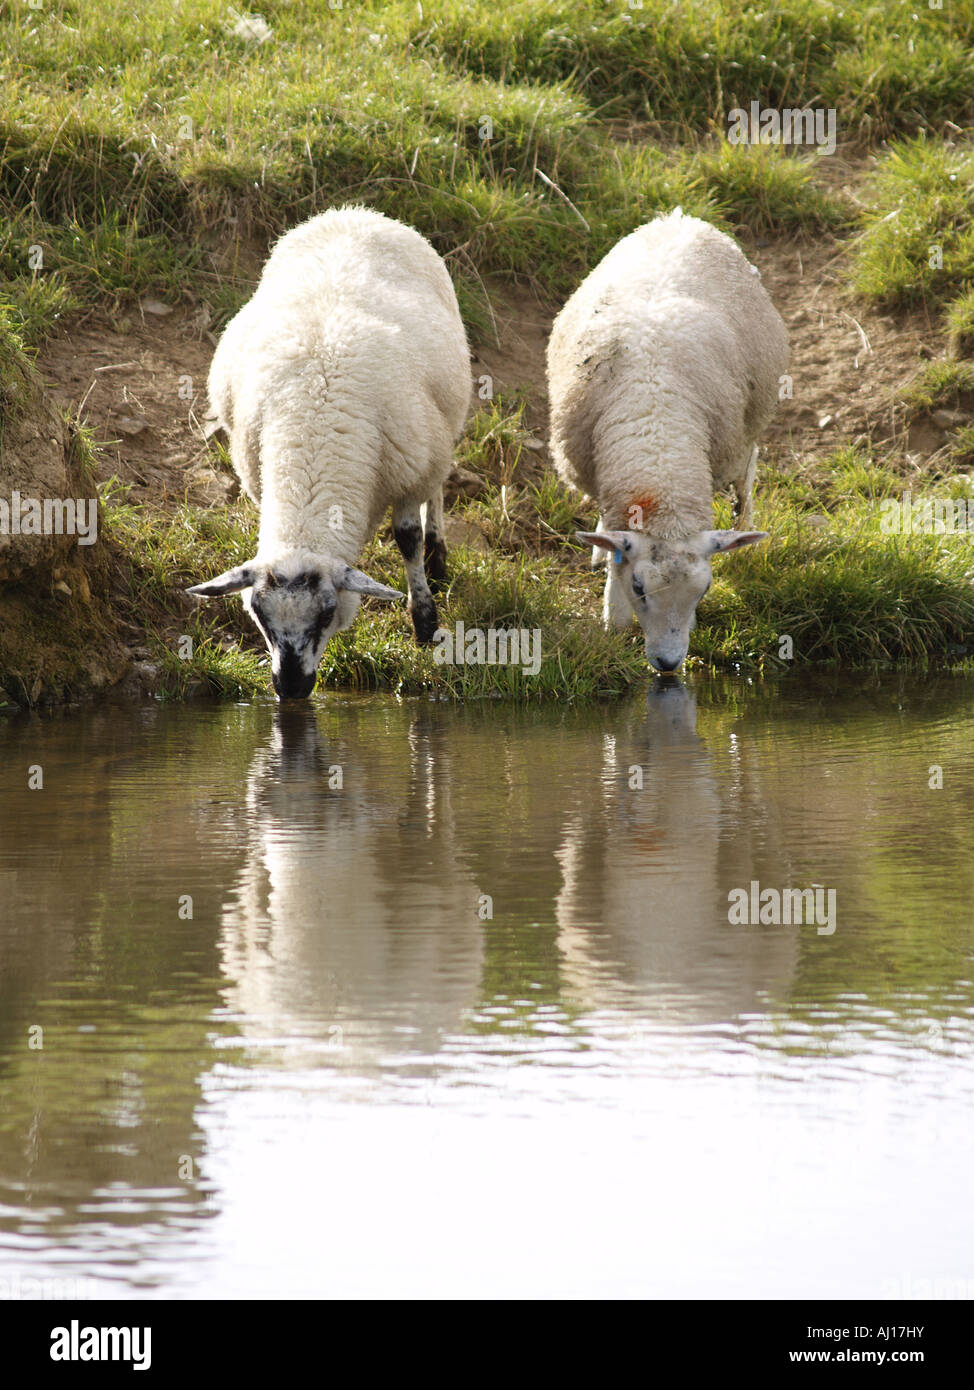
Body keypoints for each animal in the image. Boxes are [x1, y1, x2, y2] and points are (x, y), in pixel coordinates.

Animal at [187, 206, 471, 699]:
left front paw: (424, 622)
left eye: (325, 613)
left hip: (438, 435)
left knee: (437, 489)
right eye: (258, 614)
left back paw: (438, 556)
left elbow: (408, 539)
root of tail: (354, 212)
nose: (289, 688)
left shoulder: (408, 473)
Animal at [546, 208, 789, 673]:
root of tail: (680, 218)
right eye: (640, 588)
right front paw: (614, 613)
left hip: (750, 419)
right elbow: (615, 554)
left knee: (747, 475)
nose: (668, 663)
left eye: (704, 591)